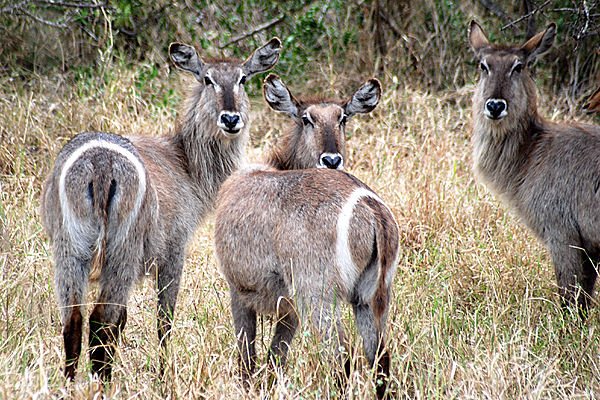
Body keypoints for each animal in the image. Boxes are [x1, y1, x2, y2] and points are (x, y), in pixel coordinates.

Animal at [42, 36, 282, 378]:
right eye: (207, 79)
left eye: (243, 79)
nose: (231, 119)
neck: (184, 163)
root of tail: (100, 164)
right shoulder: (174, 249)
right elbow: (163, 321)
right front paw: (164, 376)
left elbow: (123, 323)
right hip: (122, 253)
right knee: (100, 319)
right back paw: (103, 382)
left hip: (69, 249)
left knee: (74, 321)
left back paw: (72, 383)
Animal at [216, 74, 398, 396]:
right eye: (306, 118)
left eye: (342, 118)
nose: (331, 159)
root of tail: (370, 206)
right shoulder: (289, 308)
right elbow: (276, 357)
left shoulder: (239, 289)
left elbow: (247, 357)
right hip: (372, 296)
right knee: (379, 359)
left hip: (319, 294)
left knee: (341, 358)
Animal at [466, 21, 600, 316]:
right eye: (483, 65)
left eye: (518, 66)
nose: (495, 105)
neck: (532, 152)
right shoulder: (590, 248)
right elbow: (583, 300)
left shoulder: (562, 235)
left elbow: (570, 300)